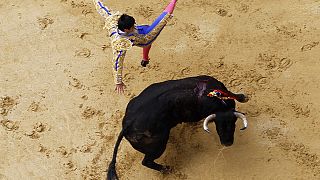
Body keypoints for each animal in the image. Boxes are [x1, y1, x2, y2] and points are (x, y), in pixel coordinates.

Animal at [106, 75, 249, 179]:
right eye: (219, 127)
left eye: (233, 124)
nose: (227, 143)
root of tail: (127, 125)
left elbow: (233, 94)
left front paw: (243, 97)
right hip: (158, 146)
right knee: (147, 161)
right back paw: (168, 169)